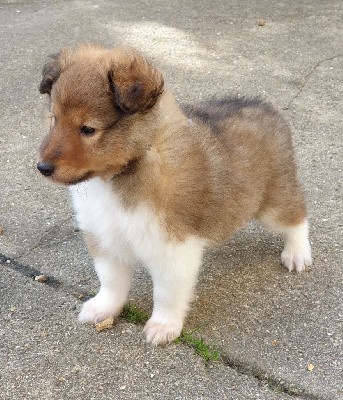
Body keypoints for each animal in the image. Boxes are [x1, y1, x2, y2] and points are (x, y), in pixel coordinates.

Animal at [37, 43, 312, 344]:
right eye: (54, 119)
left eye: (88, 129)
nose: (42, 168)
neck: (123, 173)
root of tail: (266, 106)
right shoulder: (105, 238)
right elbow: (111, 281)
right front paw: (103, 308)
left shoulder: (173, 249)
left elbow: (167, 294)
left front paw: (163, 327)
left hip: (273, 201)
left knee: (297, 216)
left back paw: (297, 253)